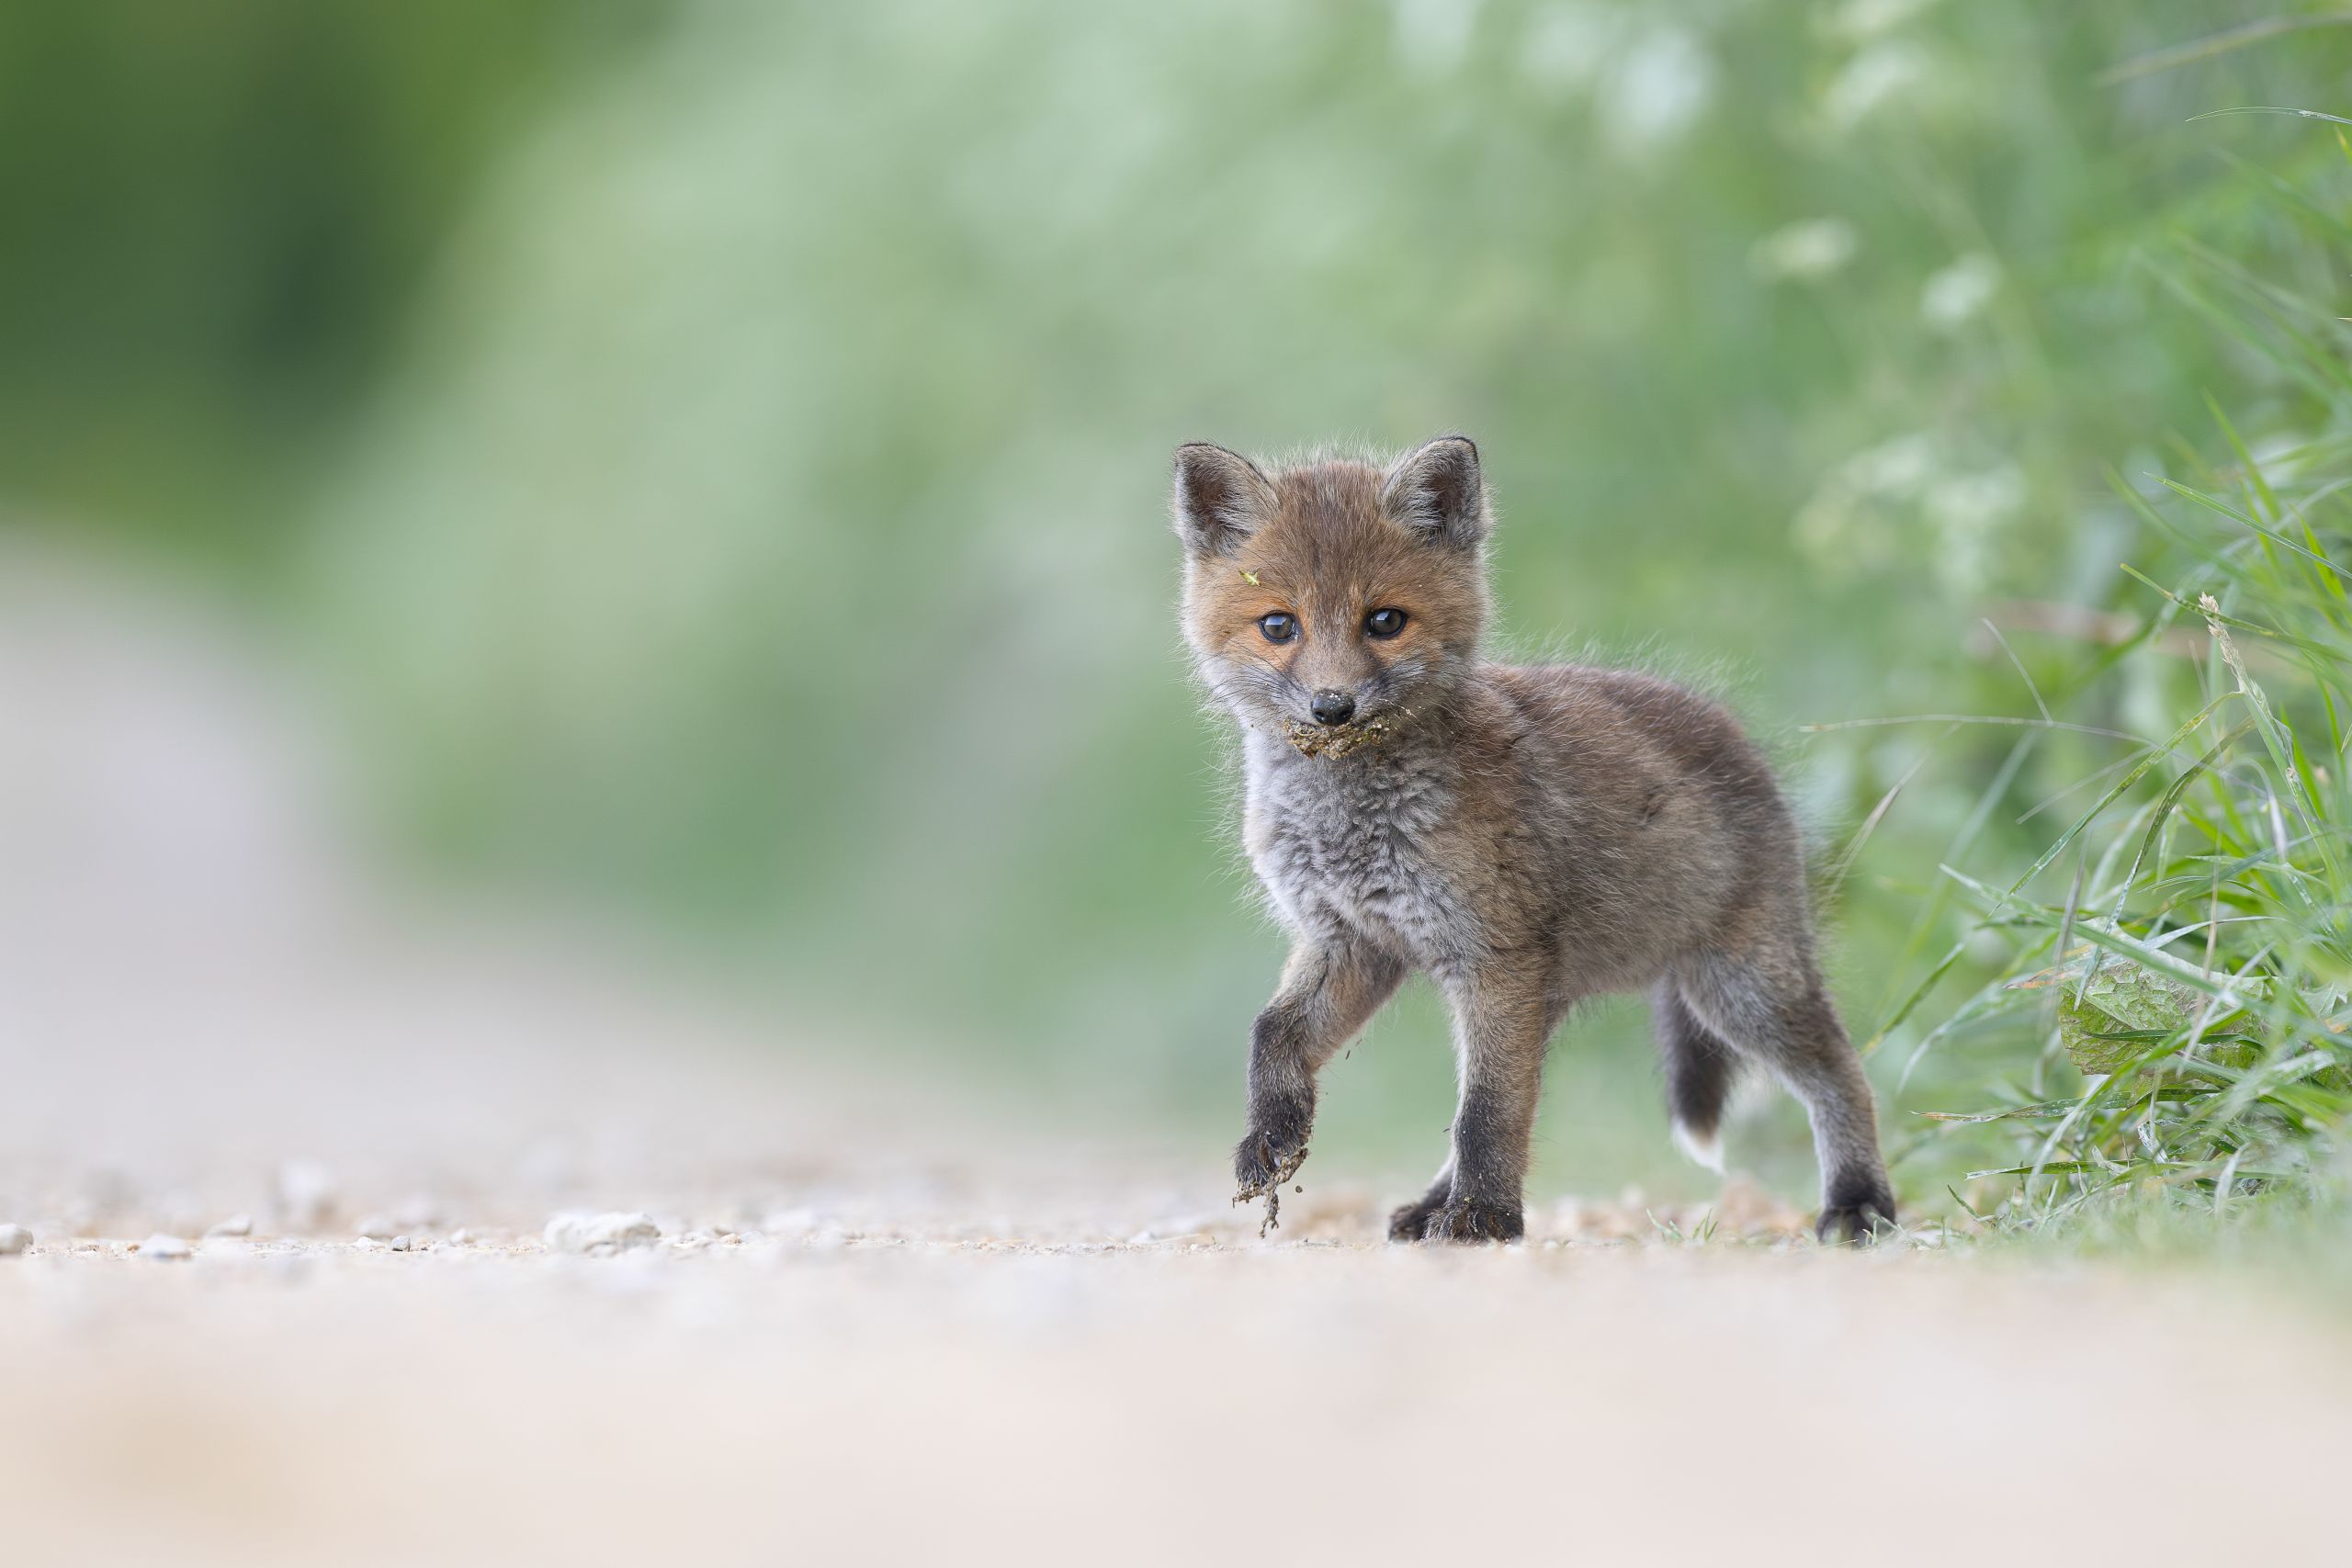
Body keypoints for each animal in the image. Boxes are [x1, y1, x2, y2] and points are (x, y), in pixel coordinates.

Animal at [1171, 435, 1897, 1244]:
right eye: (1278, 625)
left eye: (1385, 620)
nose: (1333, 707)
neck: (1350, 826)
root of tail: (1727, 727)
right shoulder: (1353, 942)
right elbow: (1273, 1033)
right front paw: (1273, 1135)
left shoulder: (1493, 956)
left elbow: (1486, 1114)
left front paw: (1484, 1218)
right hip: (1564, 997)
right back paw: (1427, 1205)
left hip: (1737, 989)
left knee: (1843, 1071)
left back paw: (1860, 1202)